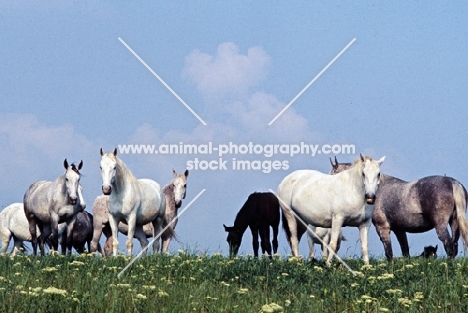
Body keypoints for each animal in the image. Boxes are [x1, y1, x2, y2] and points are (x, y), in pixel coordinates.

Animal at [330, 156, 468, 258]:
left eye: (333, 174)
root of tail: (452, 182)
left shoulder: (383, 228)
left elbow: (389, 253)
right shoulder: (399, 230)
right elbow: (405, 251)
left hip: (440, 225)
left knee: (449, 246)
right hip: (454, 222)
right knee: (454, 245)